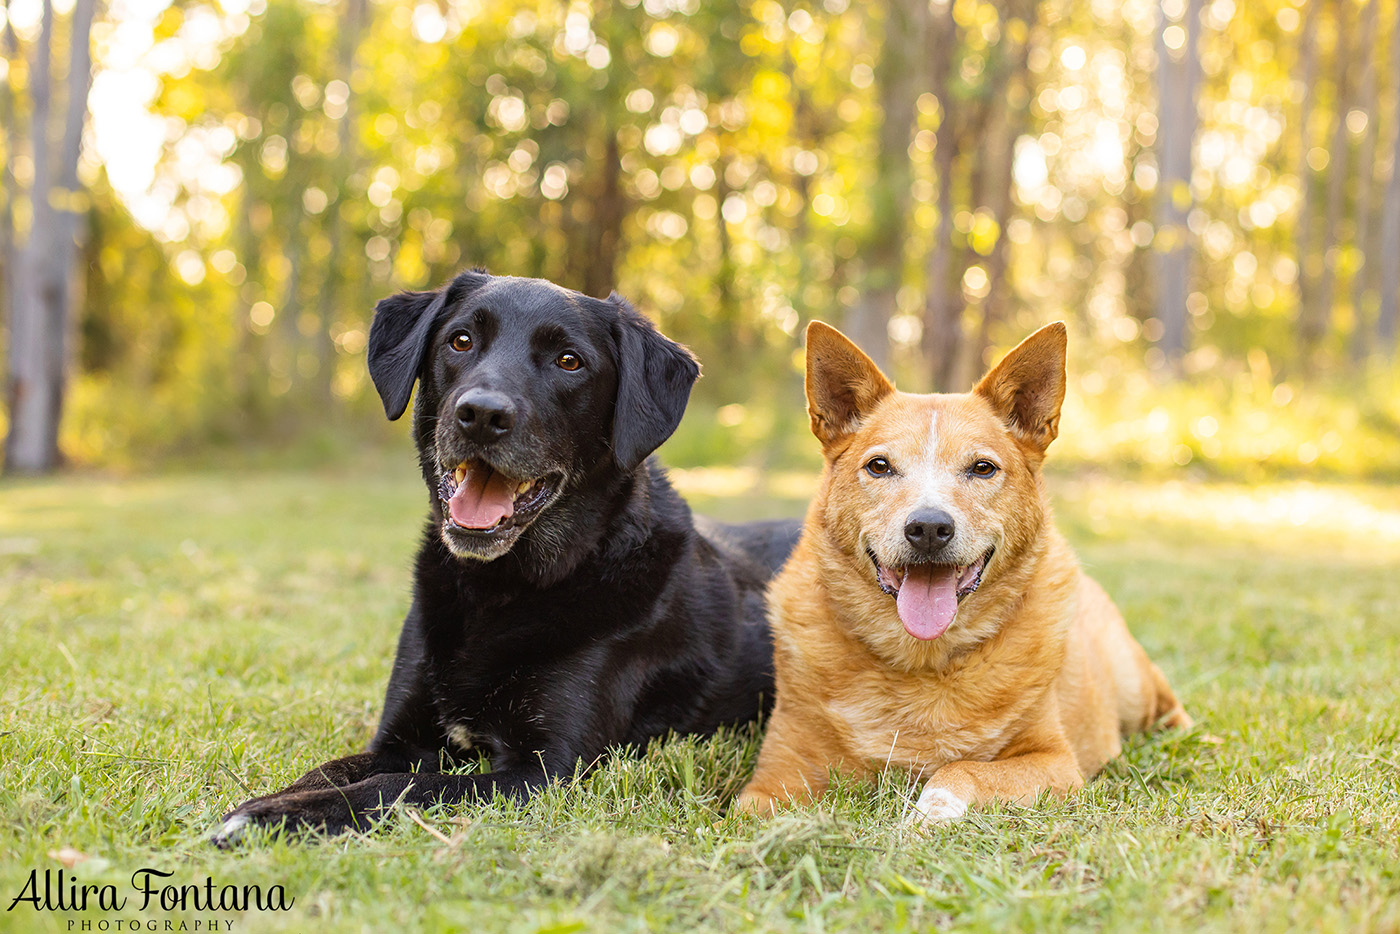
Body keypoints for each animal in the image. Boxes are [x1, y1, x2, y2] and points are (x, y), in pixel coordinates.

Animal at [211, 271, 795, 845]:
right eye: (460, 340)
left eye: (569, 361)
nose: (481, 415)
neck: (499, 590)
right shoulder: (400, 738)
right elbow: (334, 770)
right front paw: (271, 803)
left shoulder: (544, 771)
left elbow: (400, 786)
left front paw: (272, 818)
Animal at [733, 323, 1192, 823]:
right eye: (879, 466)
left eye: (982, 467)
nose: (929, 528)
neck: (922, 660)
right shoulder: (771, 780)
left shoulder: (1056, 763)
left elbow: (962, 769)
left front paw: (926, 816)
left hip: (1134, 685)